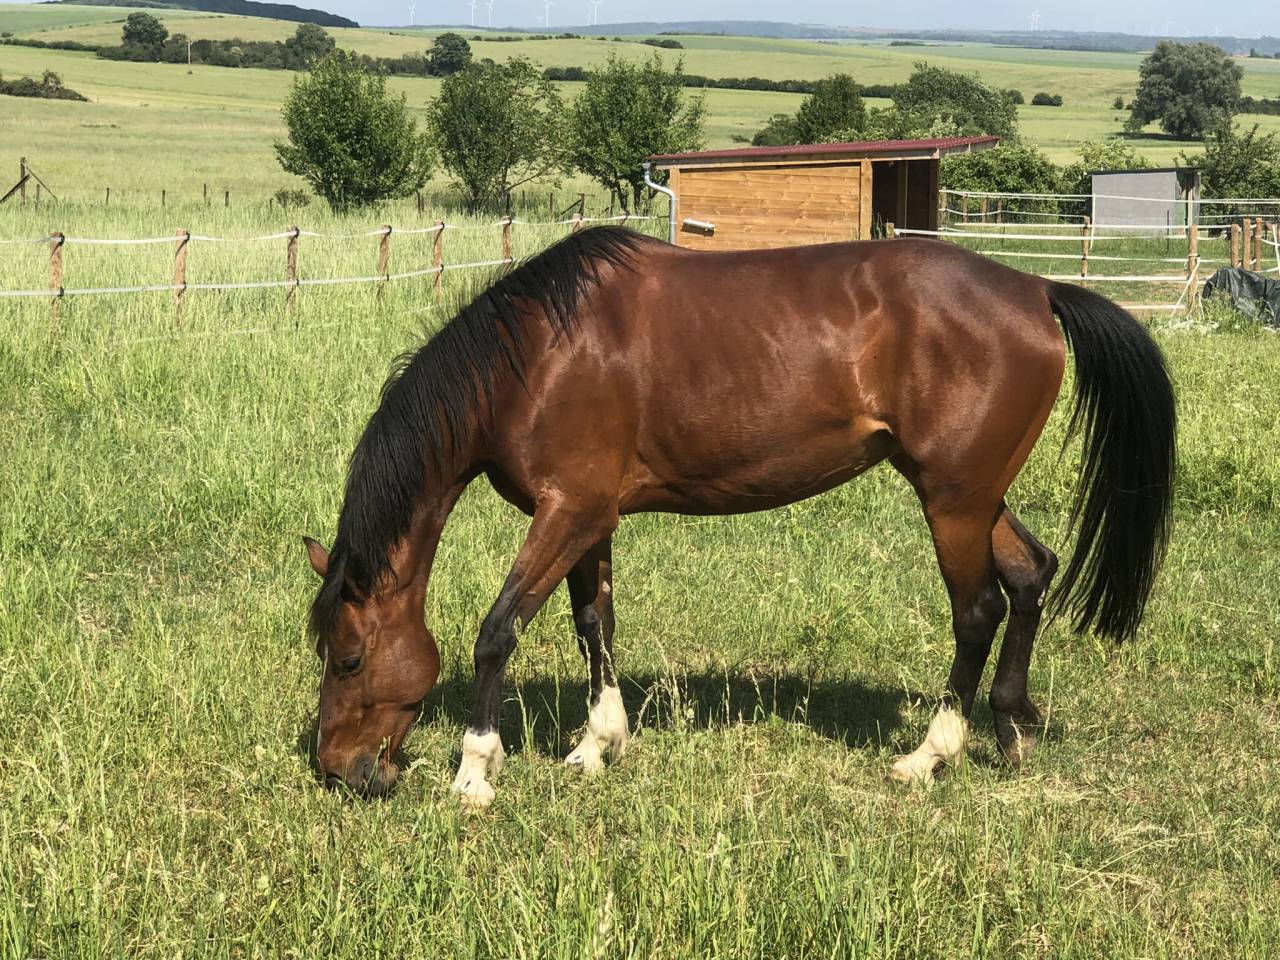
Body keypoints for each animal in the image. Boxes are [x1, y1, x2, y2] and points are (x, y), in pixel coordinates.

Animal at [303, 226, 1175, 807]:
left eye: (348, 659)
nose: (336, 769)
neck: (537, 356)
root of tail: (1034, 290)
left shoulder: (567, 511)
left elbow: (497, 632)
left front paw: (476, 771)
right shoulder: (592, 517)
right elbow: (595, 626)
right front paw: (597, 745)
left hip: (954, 500)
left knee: (978, 611)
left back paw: (929, 755)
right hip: (967, 491)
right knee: (1031, 575)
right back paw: (1013, 726)